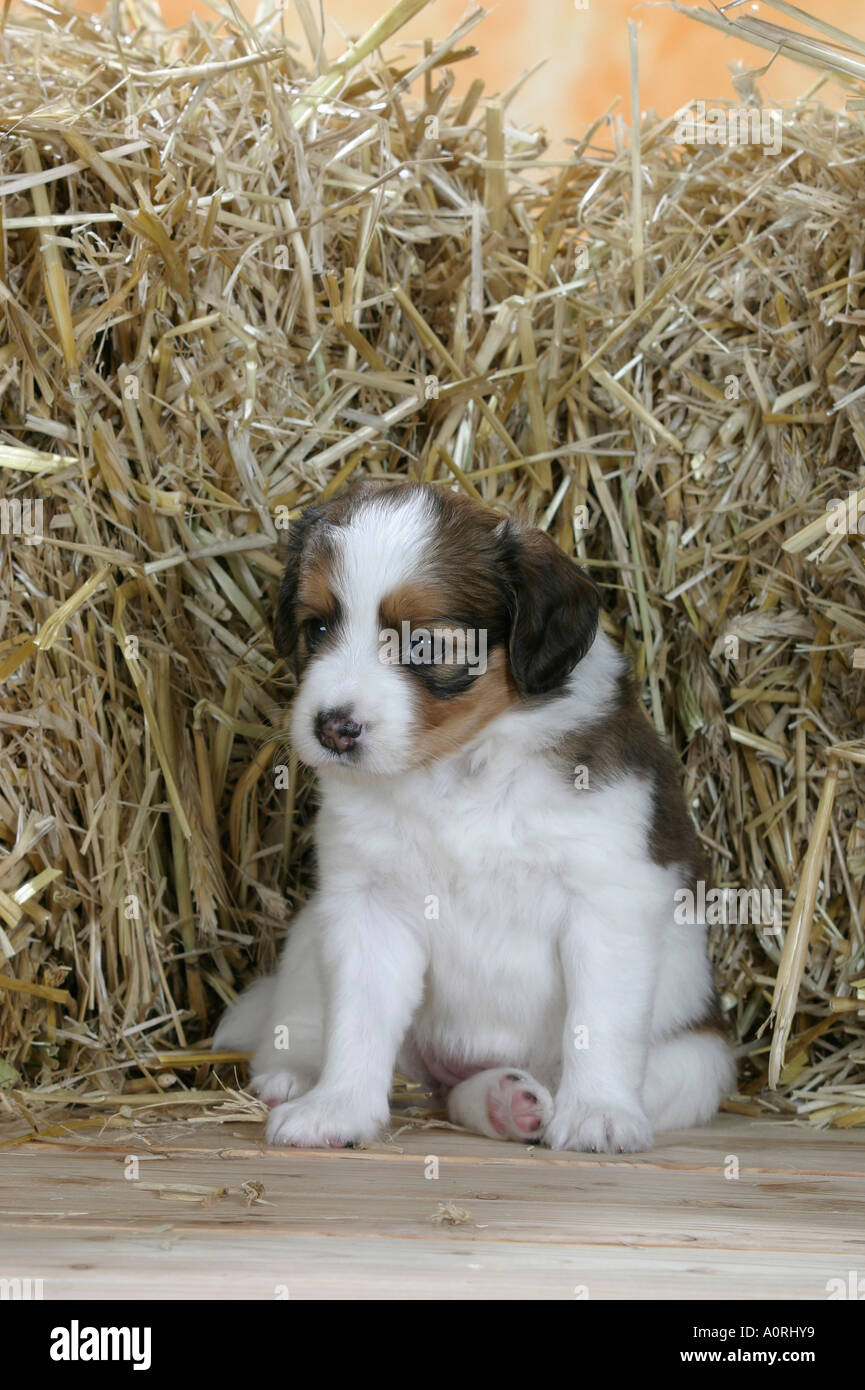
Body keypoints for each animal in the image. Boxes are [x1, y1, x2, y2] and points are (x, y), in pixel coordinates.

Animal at [215, 480, 734, 1150]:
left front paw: (598, 1111)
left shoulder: (608, 898)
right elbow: (358, 1019)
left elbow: (600, 1023)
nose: (332, 727)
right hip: (312, 934)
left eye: (425, 642)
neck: (458, 769)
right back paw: (302, 1075)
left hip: (699, 1060)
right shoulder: (367, 907)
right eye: (318, 626)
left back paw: (509, 1102)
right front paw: (338, 1107)